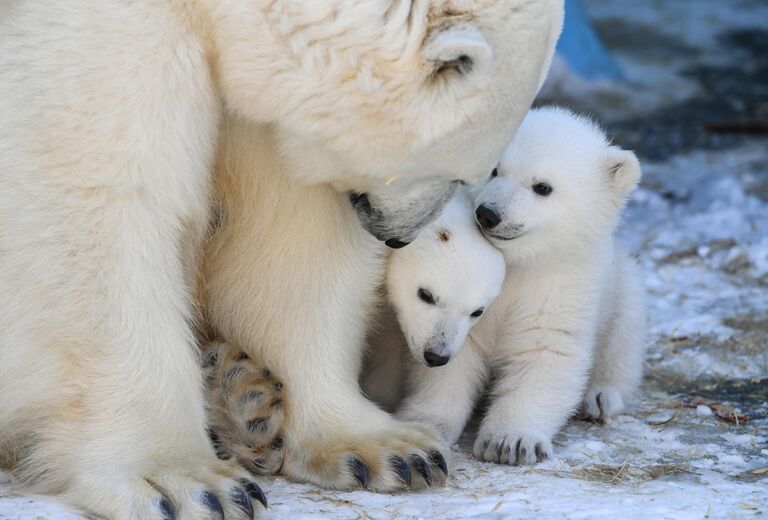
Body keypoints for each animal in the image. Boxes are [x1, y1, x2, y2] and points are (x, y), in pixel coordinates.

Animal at [400, 107, 644, 466]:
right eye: (494, 169)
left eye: (542, 187)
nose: (488, 214)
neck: (519, 262)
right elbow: (457, 353)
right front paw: (426, 422)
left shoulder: (561, 285)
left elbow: (545, 350)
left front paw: (510, 442)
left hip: (622, 286)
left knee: (624, 336)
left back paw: (601, 397)